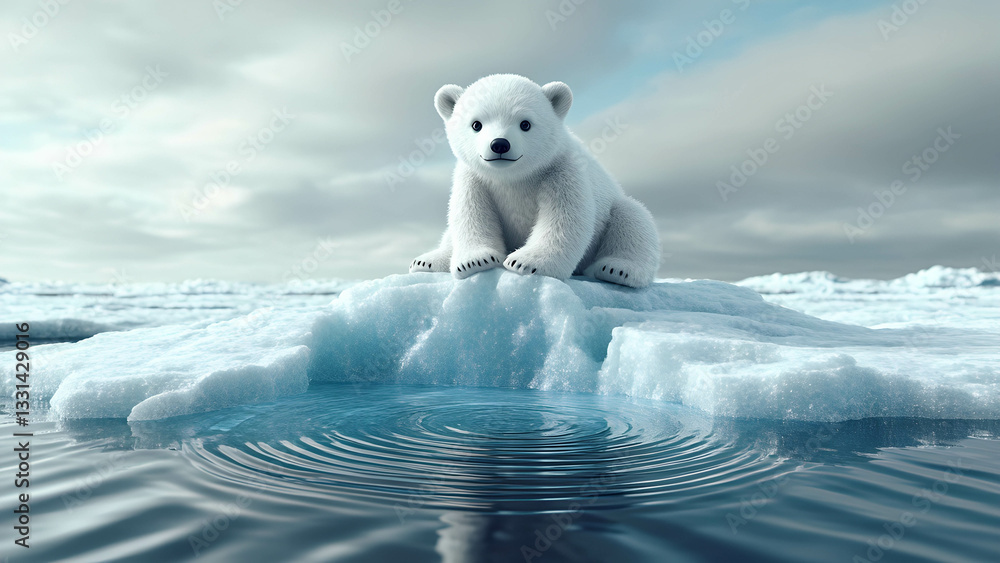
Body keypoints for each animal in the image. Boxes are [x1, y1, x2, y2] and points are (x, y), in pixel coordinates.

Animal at [409, 74, 660, 288]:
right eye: (476, 124)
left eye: (525, 123)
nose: (500, 144)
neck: (514, 177)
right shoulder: (475, 178)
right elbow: (470, 212)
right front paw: (476, 260)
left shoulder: (560, 170)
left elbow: (564, 217)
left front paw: (524, 262)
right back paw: (427, 261)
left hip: (613, 211)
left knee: (632, 217)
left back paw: (617, 269)